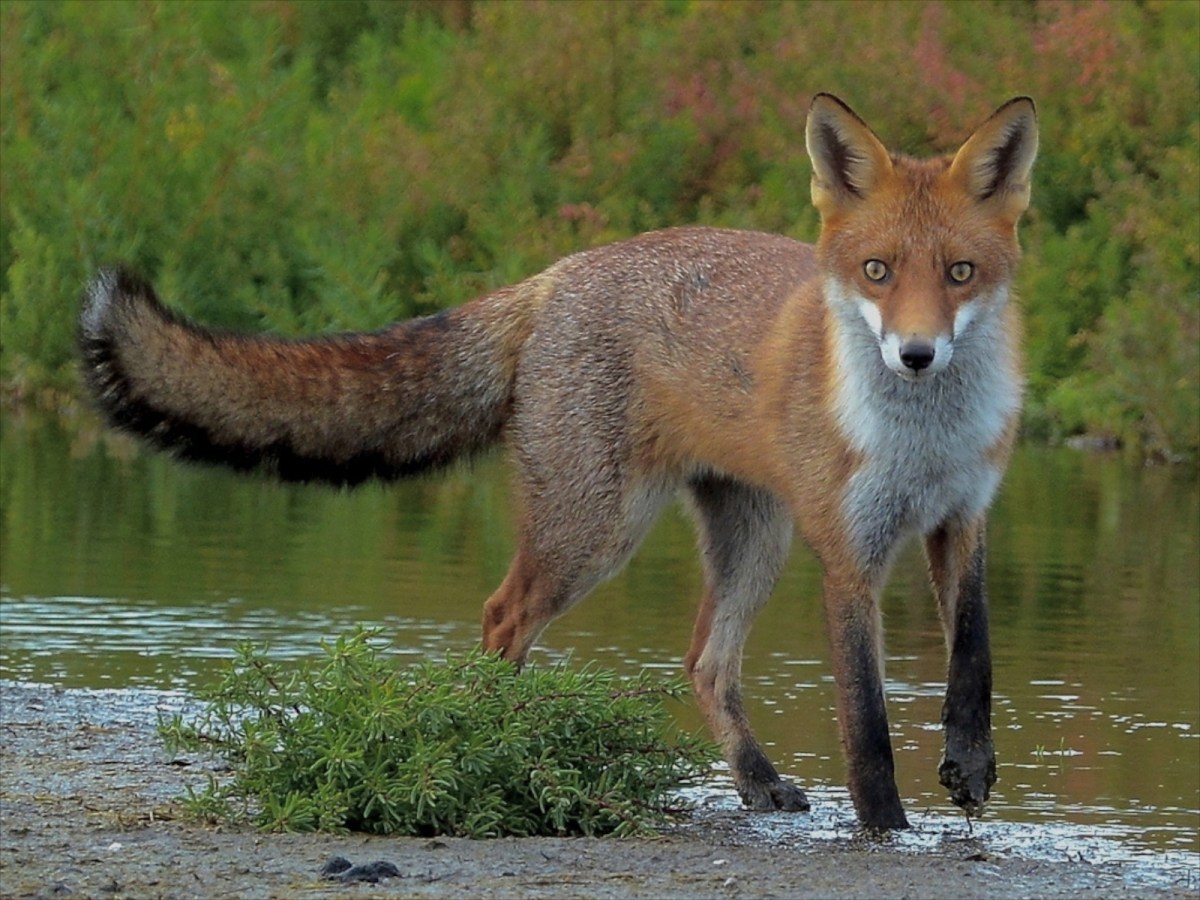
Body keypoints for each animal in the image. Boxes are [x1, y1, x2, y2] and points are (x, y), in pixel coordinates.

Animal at [78, 93, 1038, 830]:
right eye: (877, 271)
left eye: (959, 273)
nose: (915, 355)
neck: (924, 442)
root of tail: (554, 275)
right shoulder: (849, 551)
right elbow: (866, 720)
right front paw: (886, 826)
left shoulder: (965, 516)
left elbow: (976, 655)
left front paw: (969, 768)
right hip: (597, 532)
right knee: (503, 619)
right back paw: (494, 748)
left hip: (751, 539)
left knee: (704, 661)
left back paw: (756, 781)